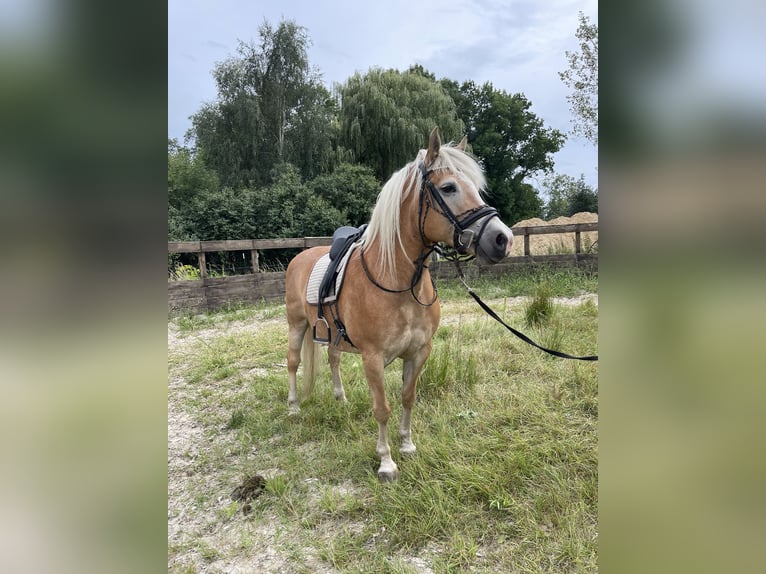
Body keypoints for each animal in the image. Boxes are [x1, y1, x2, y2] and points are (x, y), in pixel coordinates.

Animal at [284, 128, 512, 484]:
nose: (503, 239)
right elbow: (383, 408)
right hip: (296, 325)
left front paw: (407, 446)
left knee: (334, 360)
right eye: (449, 187)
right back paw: (294, 407)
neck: (397, 282)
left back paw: (340, 399)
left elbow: (408, 397)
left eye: (476, 187)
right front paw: (386, 463)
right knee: (293, 363)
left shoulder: (419, 352)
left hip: (331, 334)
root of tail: (300, 256)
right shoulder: (373, 359)